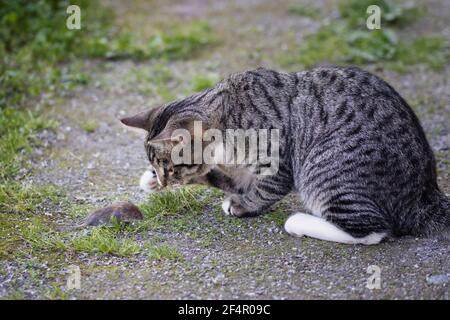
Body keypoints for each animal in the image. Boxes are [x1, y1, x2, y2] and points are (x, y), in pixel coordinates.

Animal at [120, 65, 450, 245]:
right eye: (159, 167)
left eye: (170, 168)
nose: (163, 180)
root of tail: (426, 194)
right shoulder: (238, 169)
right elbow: (221, 176)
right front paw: (149, 180)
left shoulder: (278, 163)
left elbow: (263, 190)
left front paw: (242, 205)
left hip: (324, 168)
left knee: (372, 230)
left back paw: (298, 221)